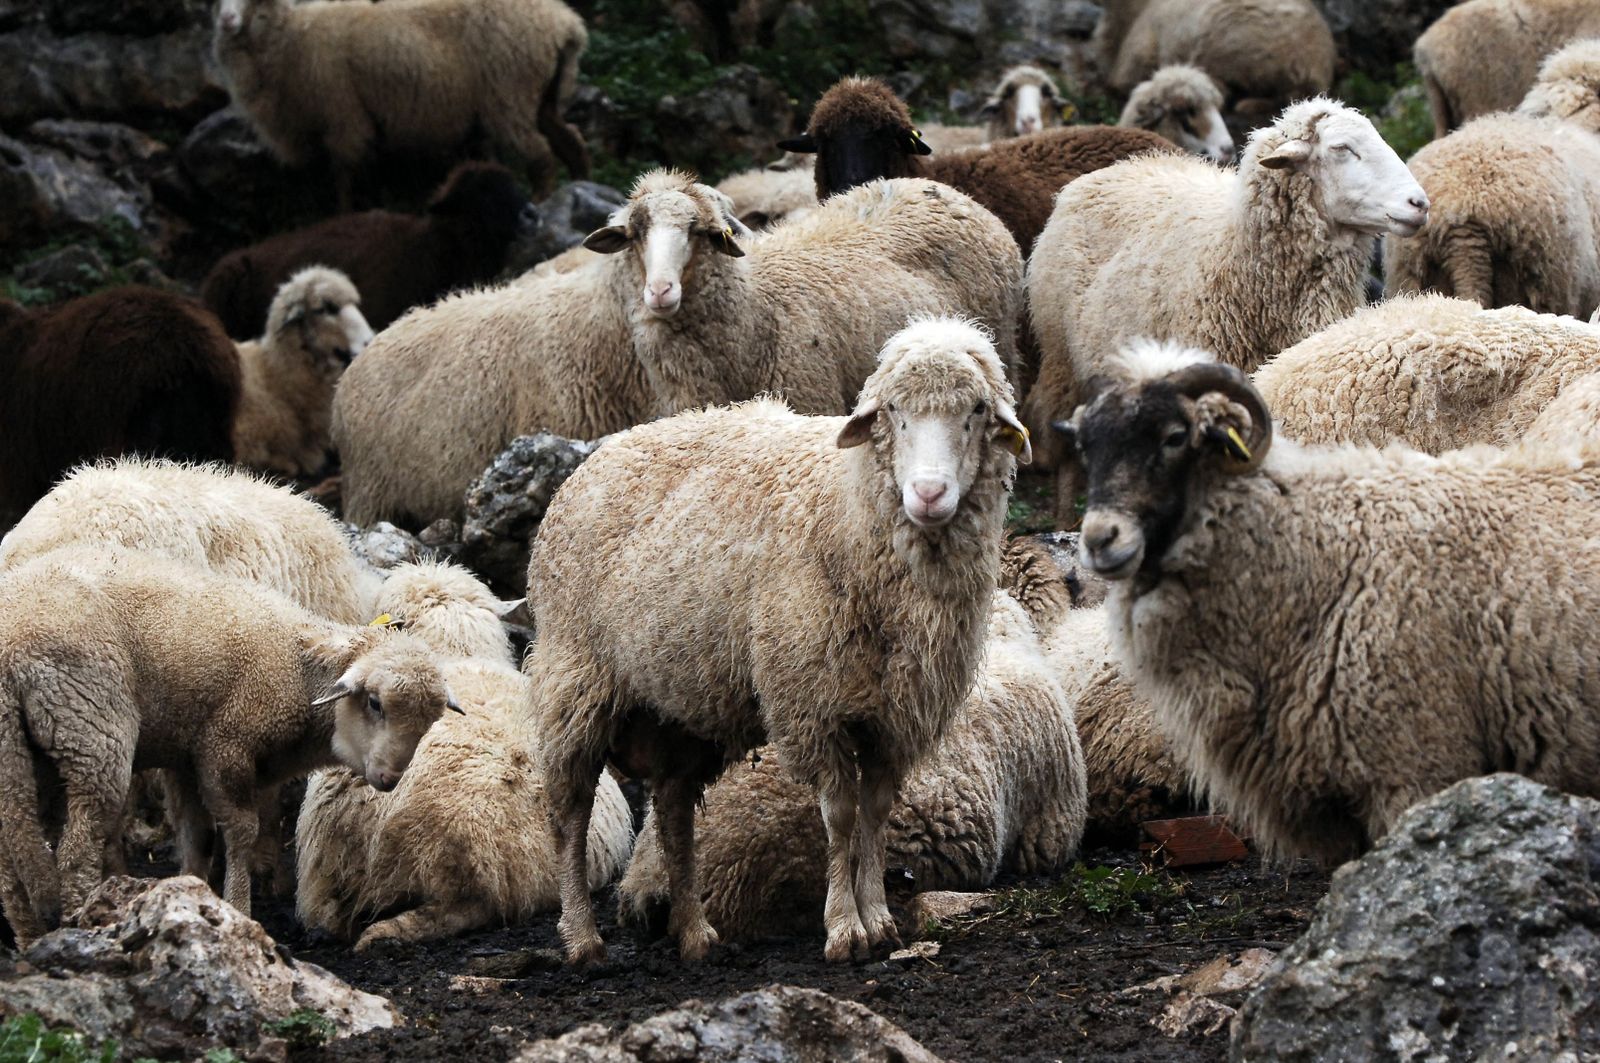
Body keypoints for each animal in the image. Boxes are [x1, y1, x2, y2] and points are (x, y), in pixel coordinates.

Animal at [0, 548, 457, 941]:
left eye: (430, 721)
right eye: (375, 703)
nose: (389, 778)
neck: (297, 668)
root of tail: (11, 649)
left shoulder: (187, 755)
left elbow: (197, 835)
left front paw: (189, 895)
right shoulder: (225, 746)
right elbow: (241, 831)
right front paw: (238, 906)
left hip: (22, 746)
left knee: (13, 857)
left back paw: (29, 934)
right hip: (91, 730)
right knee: (77, 851)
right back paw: (77, 924)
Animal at [212, 0, 589, 206]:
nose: (227, 21)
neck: (287, 38)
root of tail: (565, 23)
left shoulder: (344, 117)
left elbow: (346, 177)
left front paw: (347, 214)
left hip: (509, 96)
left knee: (540, 154)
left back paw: (542, 201)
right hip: (541, 96)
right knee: (570, 139)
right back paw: (581, 186)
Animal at [531, 317, 1029, 965]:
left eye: (975, 410)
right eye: (893, 410)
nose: (927, 493)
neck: (848, 511)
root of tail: (604, 451)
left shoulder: (896, 716)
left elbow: (876, 814)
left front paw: (878, 920)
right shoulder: (812, 701)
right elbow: (839, 817)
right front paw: (844, 928)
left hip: (678, 709)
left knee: (673, 811)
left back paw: (694, 931)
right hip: (574, 677)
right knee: (570, 811)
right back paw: (582, 939)